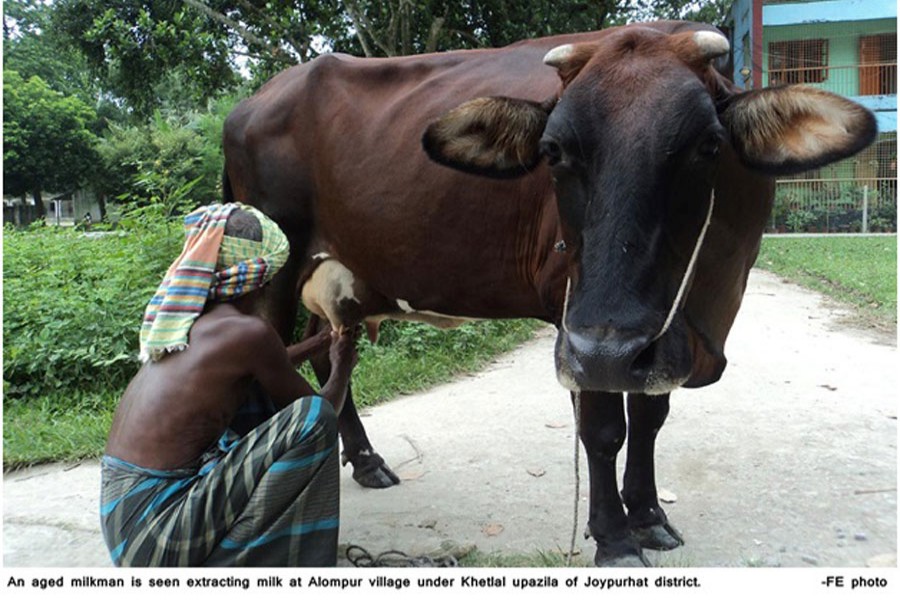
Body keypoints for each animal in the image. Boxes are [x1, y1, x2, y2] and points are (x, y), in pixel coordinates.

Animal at [221, 19, 876, 568]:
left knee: (332, 355)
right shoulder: (581, 328)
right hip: (274, 273)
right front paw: (614, 538)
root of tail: (253, 101)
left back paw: (364, 460)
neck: (711, 296)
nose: (608, 347)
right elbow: (604, 430)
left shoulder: (655, 336)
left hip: (339, 280)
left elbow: (650, 416)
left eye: (708, 146)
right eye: (553, 152)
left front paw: (649, 517)